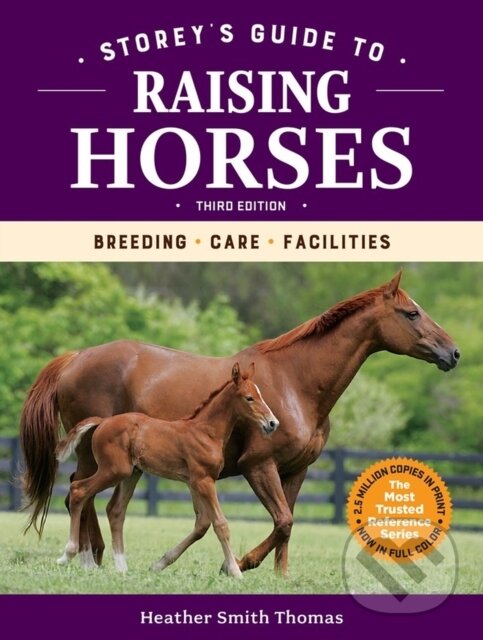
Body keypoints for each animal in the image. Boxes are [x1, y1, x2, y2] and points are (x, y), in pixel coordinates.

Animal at [54, 363, 278, 577]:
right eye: (249, 398)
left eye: (260, 395)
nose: (272, 423)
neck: (206, 432)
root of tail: (103, 421)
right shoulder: (204, 480)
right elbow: (221, 524)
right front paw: (235, 571)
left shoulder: (193, 483)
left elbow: (202, 522)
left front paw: (159, 564)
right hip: (114, 470)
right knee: (78, 490)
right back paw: (67, 555)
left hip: (131, 474)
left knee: (115, 510)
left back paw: (121, 567)